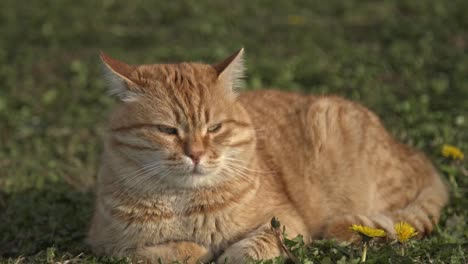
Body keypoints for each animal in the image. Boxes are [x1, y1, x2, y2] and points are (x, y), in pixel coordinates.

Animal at [88, 48, 450, 262]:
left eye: (215, 127)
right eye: (167, 130)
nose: (197, 154)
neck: (185, 204)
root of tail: (414, 153)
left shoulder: (287, 224)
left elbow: (251, 247)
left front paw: (225, 255)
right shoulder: (105, 245)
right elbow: (159, 252)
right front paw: (194, 249)